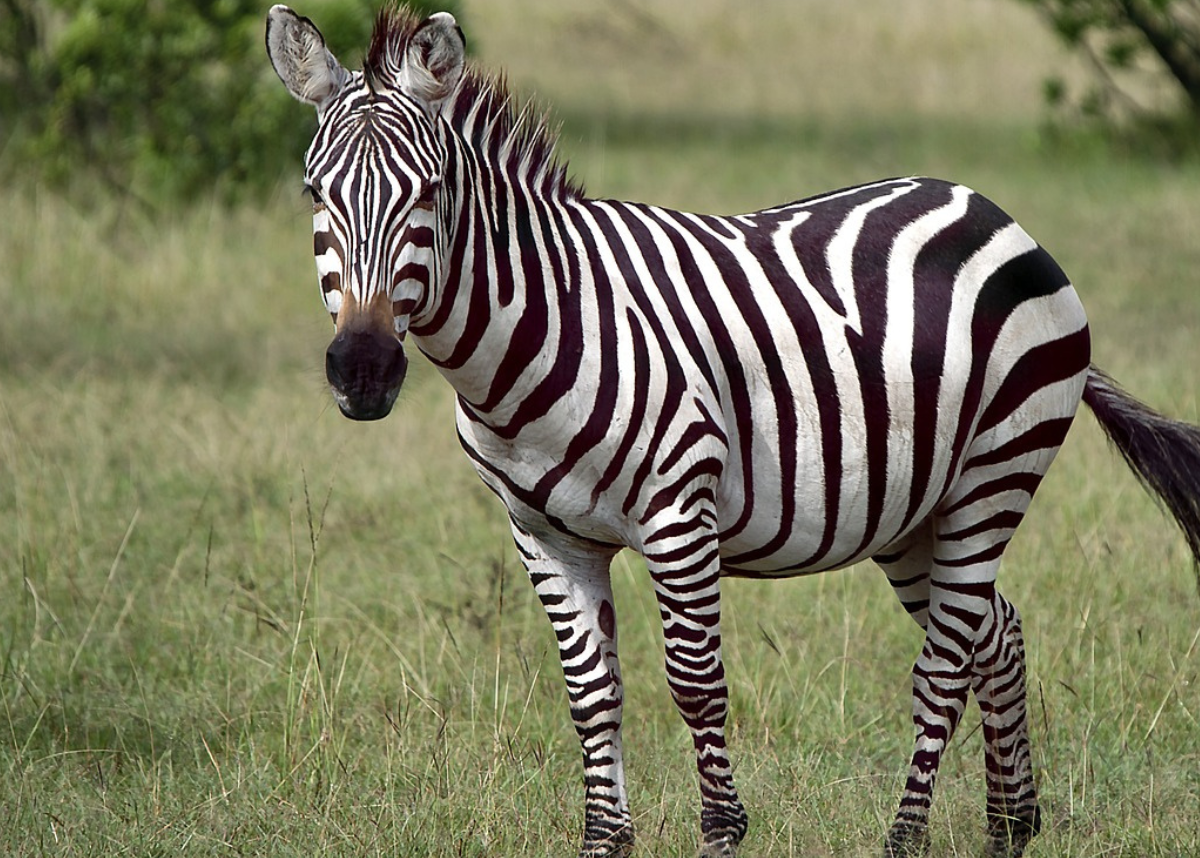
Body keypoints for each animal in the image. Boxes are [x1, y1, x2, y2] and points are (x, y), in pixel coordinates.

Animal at [265, 8, 1200, 858]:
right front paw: (604, 841)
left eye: (429, 194)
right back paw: (1011, 828)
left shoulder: (681, 511)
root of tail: (994, 210)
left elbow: (695, 684)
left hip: (993, 474)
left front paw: (722, 832)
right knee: (990, 633)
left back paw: (907, 838)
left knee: (941, 667)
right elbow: (591, 695)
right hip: (912, 508)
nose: (362, 370)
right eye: (315, 195)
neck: (537, 329)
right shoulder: (543, 534)